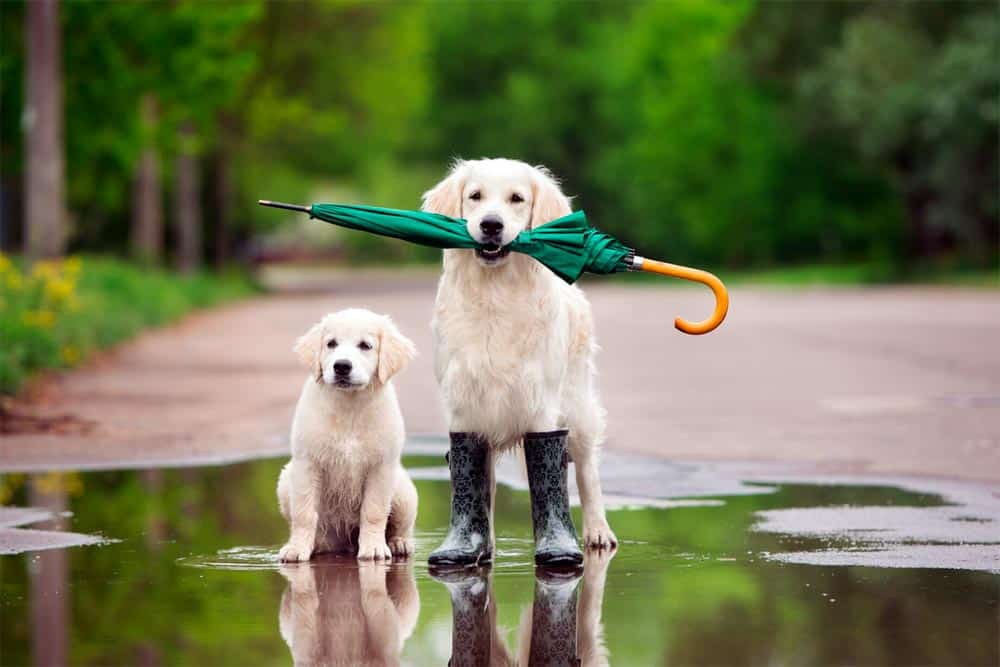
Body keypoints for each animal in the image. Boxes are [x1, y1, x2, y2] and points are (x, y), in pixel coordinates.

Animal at [278, 310, 418, 560]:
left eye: (365, 346)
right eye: (331, 343)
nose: (342, 366)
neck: (349, 406)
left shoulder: (381, 466)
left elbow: (374, 511)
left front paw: (373, 548)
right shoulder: (307, 463)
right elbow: (304, 513)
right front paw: (297, 548)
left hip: (404, 491)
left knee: (401, 526)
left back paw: (399, 543)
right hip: (286, 480)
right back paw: (317, 545)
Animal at [424, 157, 612, 548]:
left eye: (517, 199)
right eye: (475, 196)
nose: (491, 225)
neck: (496, 294)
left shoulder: (540, 403)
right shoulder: (464, 403)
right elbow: (475, 479)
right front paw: (472, 544)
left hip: (578, 407)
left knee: (587, 471)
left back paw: (598, 532)